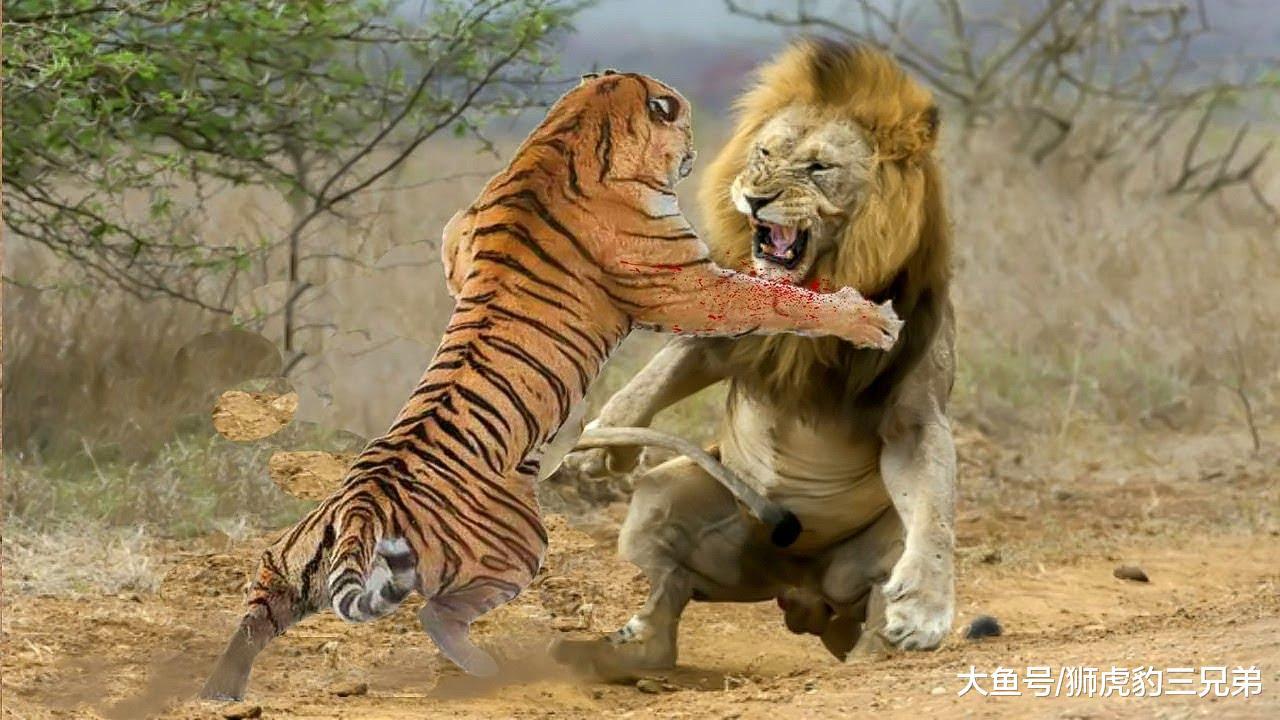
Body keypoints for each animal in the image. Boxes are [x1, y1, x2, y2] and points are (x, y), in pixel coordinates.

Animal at [200, 69, 903, 701]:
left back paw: (217, 691)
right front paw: (868, 319)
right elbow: (777, 297)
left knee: (256, 612)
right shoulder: (686, 284)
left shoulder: (459, 234)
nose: (699, 150)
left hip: (287, 563)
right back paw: (490, 672)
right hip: (518, 544)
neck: (571, 129)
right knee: (435, 613)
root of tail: (360, 508)